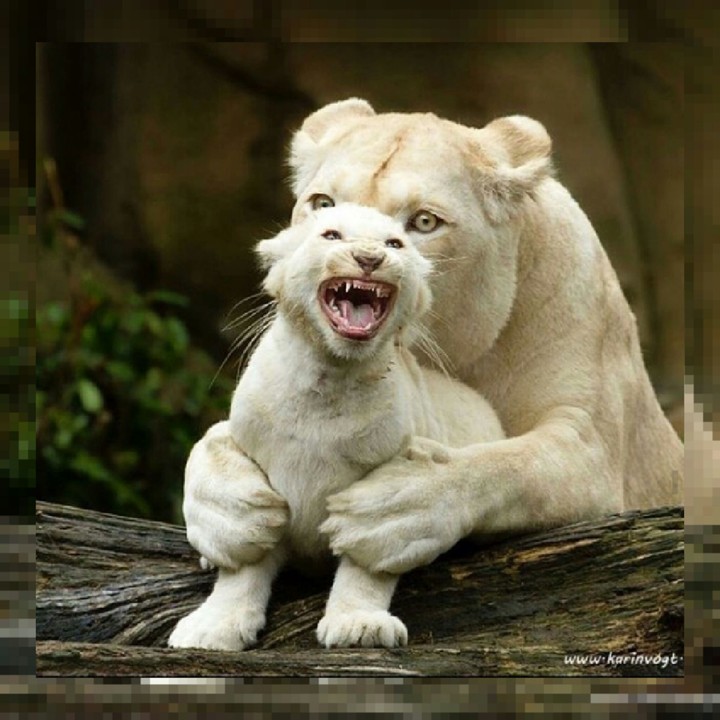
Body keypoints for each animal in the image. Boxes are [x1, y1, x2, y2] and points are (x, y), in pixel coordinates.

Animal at [168, 203, 504, 650]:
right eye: (332, 235)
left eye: (393, 243)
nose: (369, 258)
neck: (328, 379)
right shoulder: (258, 465)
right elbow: (245, 561)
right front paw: (212, 627)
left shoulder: (385, 480)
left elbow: (368, 562)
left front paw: (359, 626)